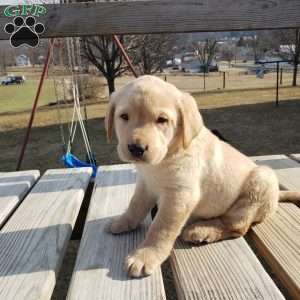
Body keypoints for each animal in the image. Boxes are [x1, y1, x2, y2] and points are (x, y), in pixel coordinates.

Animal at [105, 74, 298, 276]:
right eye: (124, 117)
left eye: (162, 120)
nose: (136, 148)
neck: (166, 157)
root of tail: (276, 197)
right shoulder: (146, 183)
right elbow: (135, 205)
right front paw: (124, 221)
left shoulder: (179, 195)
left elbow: (161, 227)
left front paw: (146, 255)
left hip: (260, 183)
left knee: (237, 227)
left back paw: (203, 230)